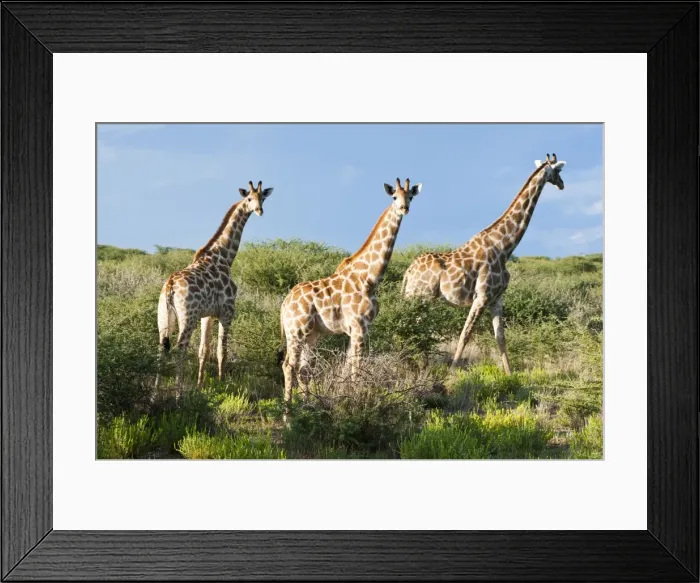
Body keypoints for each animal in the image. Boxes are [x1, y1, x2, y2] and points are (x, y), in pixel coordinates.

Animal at [156, 180, 274, 390]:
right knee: (180, 348)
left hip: (164, 315)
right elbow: (222, 350)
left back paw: (155, 393)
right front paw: (222, 385)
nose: (259, 210)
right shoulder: (227, 311)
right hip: (188, 317)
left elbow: (204, 350)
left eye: (263, 198)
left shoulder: (208, 315)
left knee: (162, 349)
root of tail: (170, 286)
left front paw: (200, 385)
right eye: (249, 198)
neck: (225, 257)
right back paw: (178, 393)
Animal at [278, 178, 422, 421]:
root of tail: (284, 305)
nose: (404, 208)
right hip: (296, 330)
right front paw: (354, 404)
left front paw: (346, 399)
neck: (370, 277)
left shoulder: (358, 328)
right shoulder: (359, 325)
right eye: (394, 197)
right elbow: (356, 366)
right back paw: (288, 418)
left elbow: (348, 364)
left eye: (411, 196)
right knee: (289, 365)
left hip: (312, 334)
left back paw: (307, 408)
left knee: (304, 369)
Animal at [401, 153, 566, 373]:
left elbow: (500, 337)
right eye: (559, 171)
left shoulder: (496, 298)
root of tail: (409, 271)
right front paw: (452, 372)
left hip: (416, 298)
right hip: (421, 298)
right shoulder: (481, 297)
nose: (562, 184)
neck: (504, 247)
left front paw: (509, 373)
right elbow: (465, 335)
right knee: (414, 327)